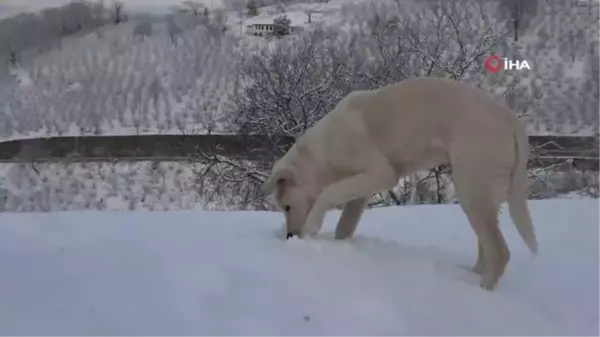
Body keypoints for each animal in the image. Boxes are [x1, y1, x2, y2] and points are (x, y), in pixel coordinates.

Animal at [262, 76, 540, 288]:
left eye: (287, 207)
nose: (289, 236)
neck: (322, 152)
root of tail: (512, 121)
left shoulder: (380, 172)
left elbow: (328, 193)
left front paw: (311, 227)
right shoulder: (361, 190)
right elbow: (345, 224)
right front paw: (339, 246)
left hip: (472, 188)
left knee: (500, 252)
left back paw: (481, 291)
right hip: (481, 193)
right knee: (487, 247)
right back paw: (470, 277)